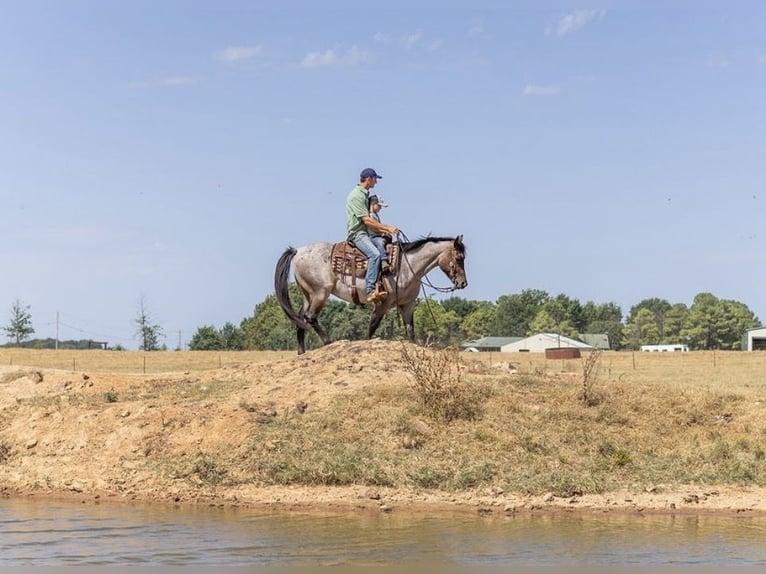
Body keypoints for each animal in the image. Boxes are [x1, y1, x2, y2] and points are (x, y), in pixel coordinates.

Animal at [274, 235, 467, 354]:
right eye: (459, 258)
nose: (463, 283)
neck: (407, 266)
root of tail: (298, 251)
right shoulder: (382, 303)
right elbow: (372, 327)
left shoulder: (407, 305)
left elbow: (411, 333)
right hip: (320, 293)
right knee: (310, 317)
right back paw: (329, 341)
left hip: (308, 294)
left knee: (300, 319)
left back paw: (301, 353)